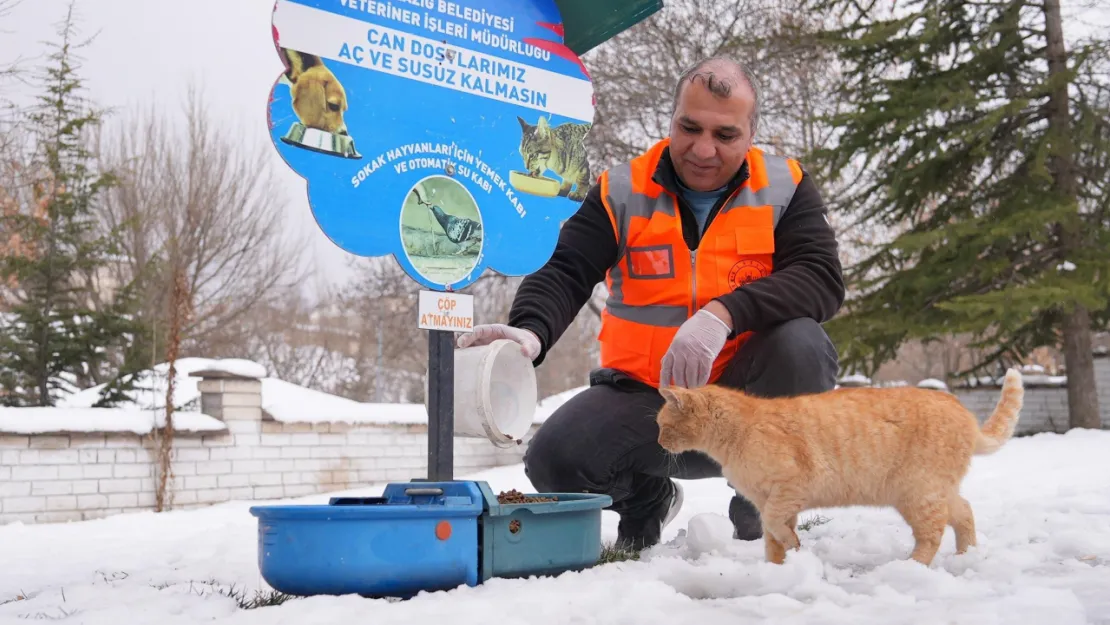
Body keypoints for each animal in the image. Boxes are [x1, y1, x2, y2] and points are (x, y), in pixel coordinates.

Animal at [652, 368, 1025, 563]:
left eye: (663, 426)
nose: (658, 443)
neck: (739, 429)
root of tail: (962, 410)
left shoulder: (788, 490)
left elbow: (773, 523)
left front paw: (791, 549)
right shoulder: (768, 500)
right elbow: (772, 538)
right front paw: (779, 567)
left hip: (918, 494)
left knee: (932, 534)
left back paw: (912, 567)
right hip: (938, 491)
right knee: (965, 513)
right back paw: (966, 555)